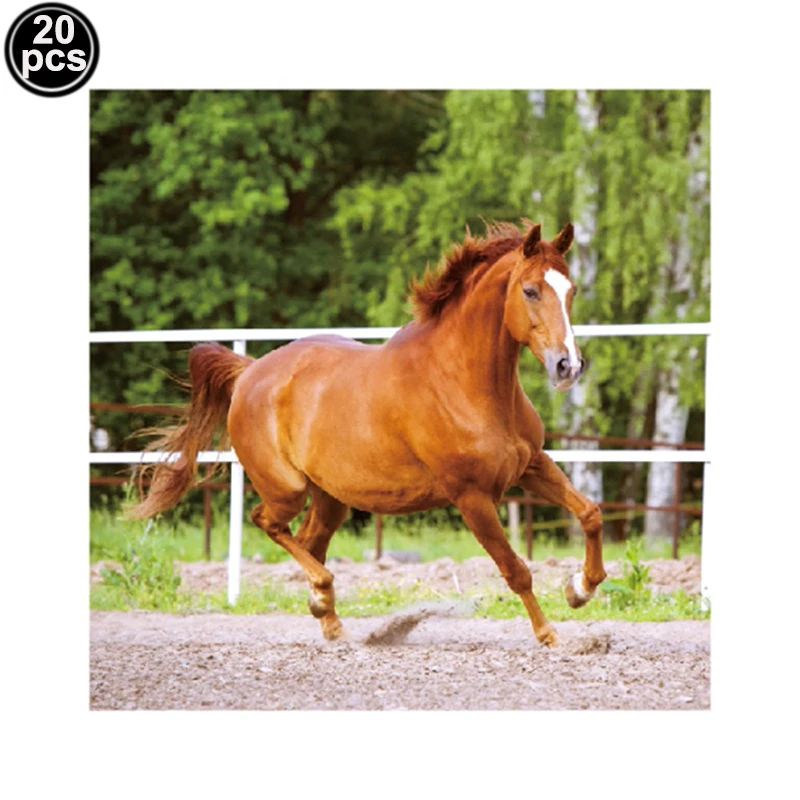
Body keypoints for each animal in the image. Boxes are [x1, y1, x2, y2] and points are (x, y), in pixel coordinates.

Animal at [130, 220, 607, 647]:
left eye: (571, 291)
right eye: (530, 291)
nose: (568, 366)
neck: (466, 383)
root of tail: (249, 372)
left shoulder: (531, 466)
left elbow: (590, 512)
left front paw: (580, 588)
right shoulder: (471, 496)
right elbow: (516, 569)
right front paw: (549, 634)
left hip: (330, 497)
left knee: (309, 540)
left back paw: (329, 618)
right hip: (286, 489)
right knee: (268, 522)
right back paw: (324, 594)